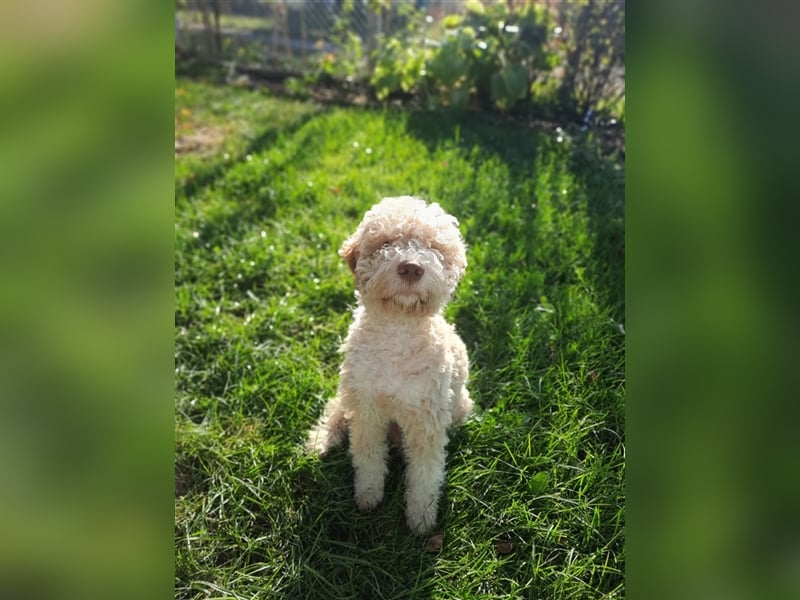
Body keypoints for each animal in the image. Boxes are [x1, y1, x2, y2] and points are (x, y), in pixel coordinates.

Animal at [304, 196, 472, 536]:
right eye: (386, 243)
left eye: (434, 246)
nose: (411, 268)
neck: (397, 334)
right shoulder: (366, 409)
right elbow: (367, 457)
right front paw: (368, 497)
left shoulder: (427, 421)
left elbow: (425, 473)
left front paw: (421, 519)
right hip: (349, 392)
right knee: (336, 411)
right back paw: (321, 440)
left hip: (459, 407)